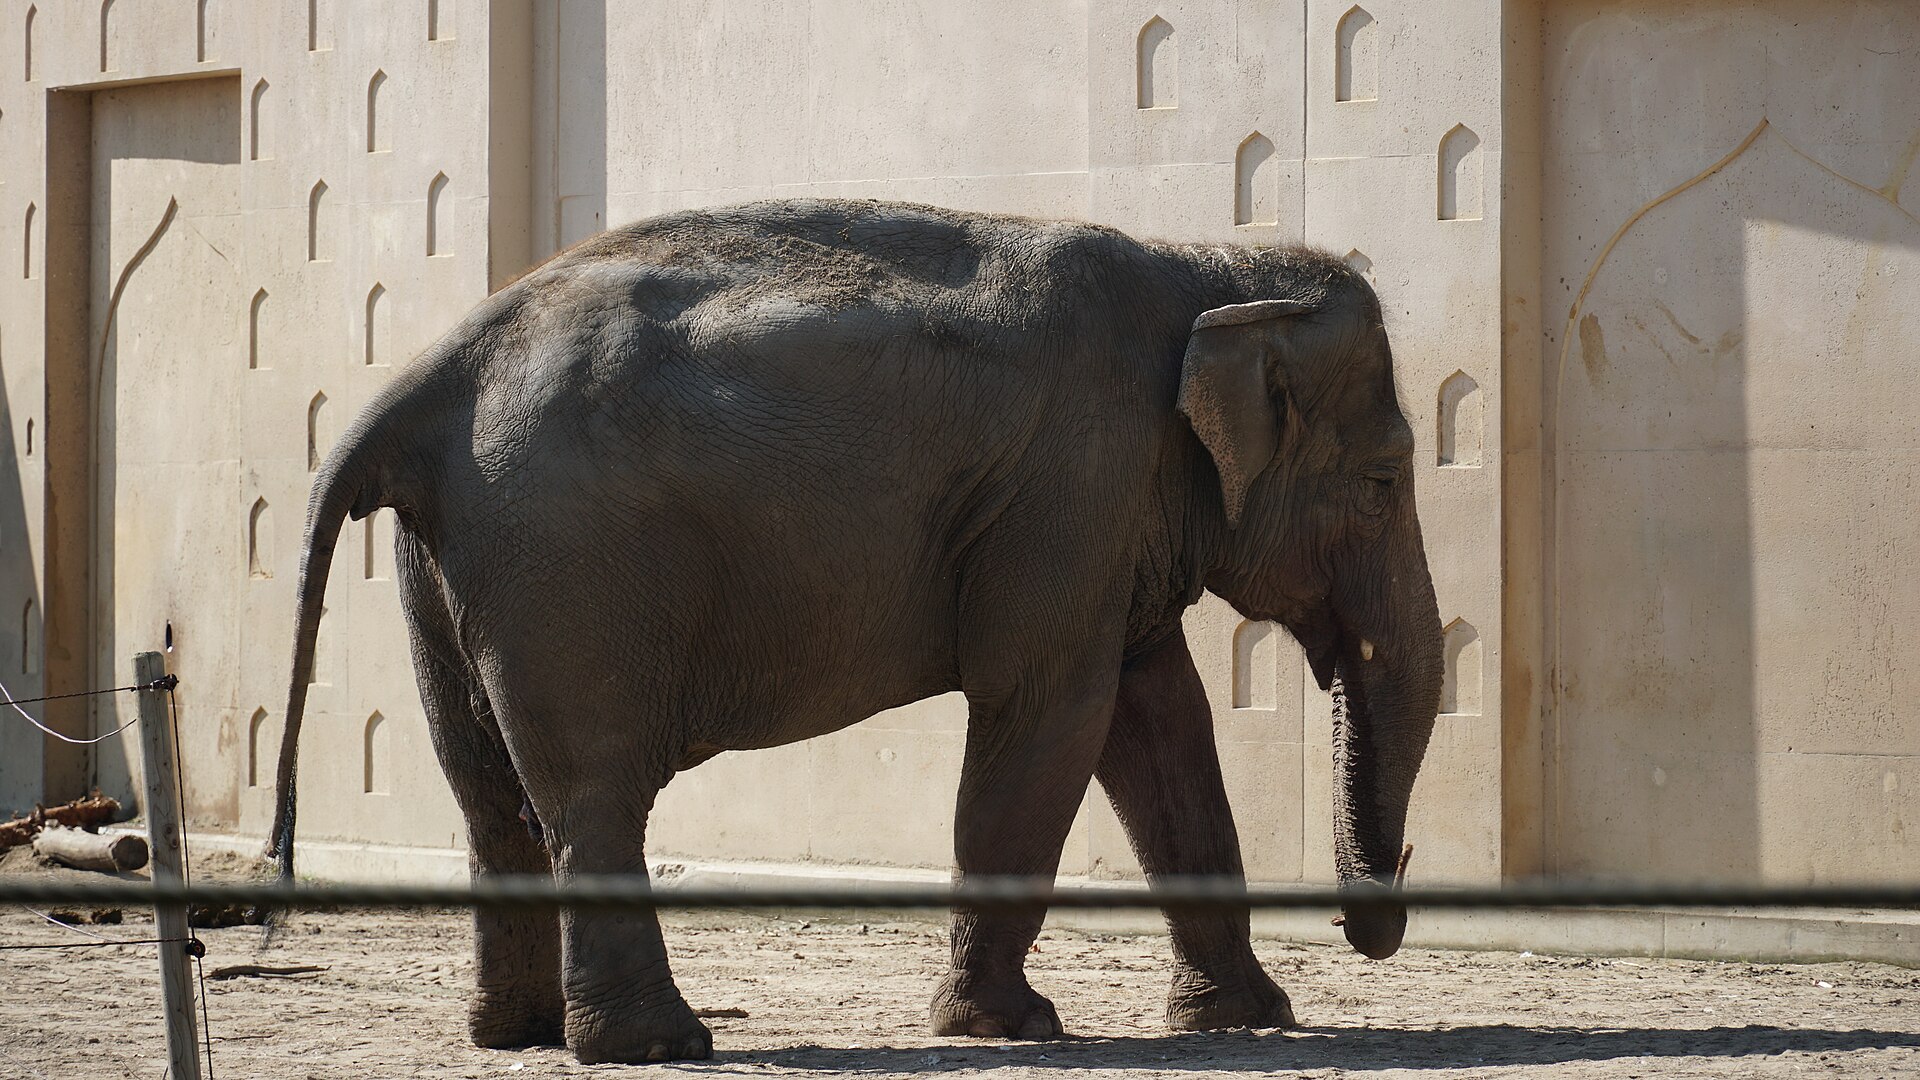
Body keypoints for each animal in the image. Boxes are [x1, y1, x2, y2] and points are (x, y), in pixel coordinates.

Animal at [268, 198, 1444, 1064]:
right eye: (1385, 481)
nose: (1368, 926)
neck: (1207, 269)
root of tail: (419, 388)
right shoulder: (1073, 486)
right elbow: (1052, 710)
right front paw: (1008, 1028)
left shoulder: (1114, 513)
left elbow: (1161, 726)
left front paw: (1250, 1017)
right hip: (563, 566)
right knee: (591, 792)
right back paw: (658, 1046)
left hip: (445, 563)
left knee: (486, 794)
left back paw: (517, 1038)